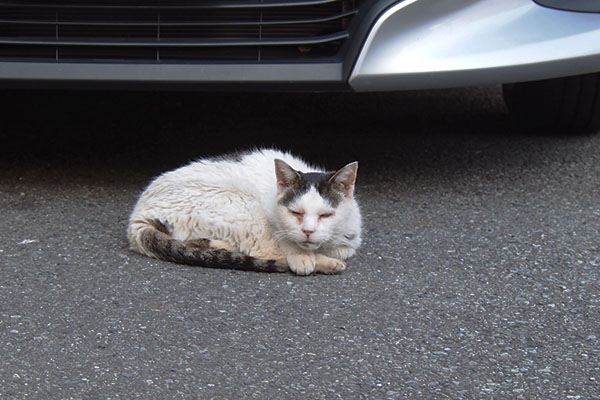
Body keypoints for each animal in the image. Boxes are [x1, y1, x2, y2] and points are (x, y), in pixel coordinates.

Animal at [126, 148, 360, 276]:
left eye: (326, 215)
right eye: (295, 213)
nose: (308, 231)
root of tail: (137, 217)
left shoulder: (350, 239)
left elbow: (342, 249)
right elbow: (285, 242)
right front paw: (302, 256)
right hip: (243, 204)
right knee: (267, 253)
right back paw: (326, 264)